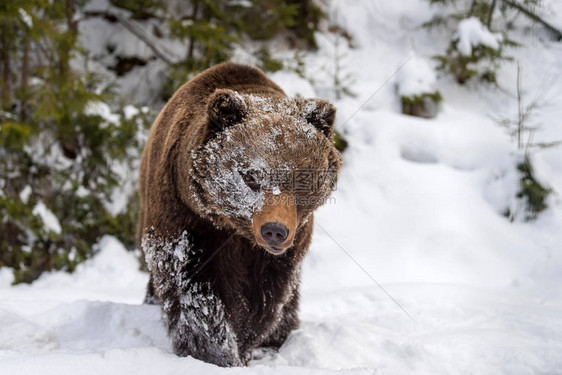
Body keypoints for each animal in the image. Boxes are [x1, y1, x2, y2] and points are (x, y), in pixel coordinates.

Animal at [138, 63, 340, 368]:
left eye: (301, 178)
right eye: (251, 177)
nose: (274, 230)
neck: (235, 229)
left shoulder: (283, 250)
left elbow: (266, 296)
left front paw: (246, 342)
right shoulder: (188, 220)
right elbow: (194, 288)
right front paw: (216, 352)